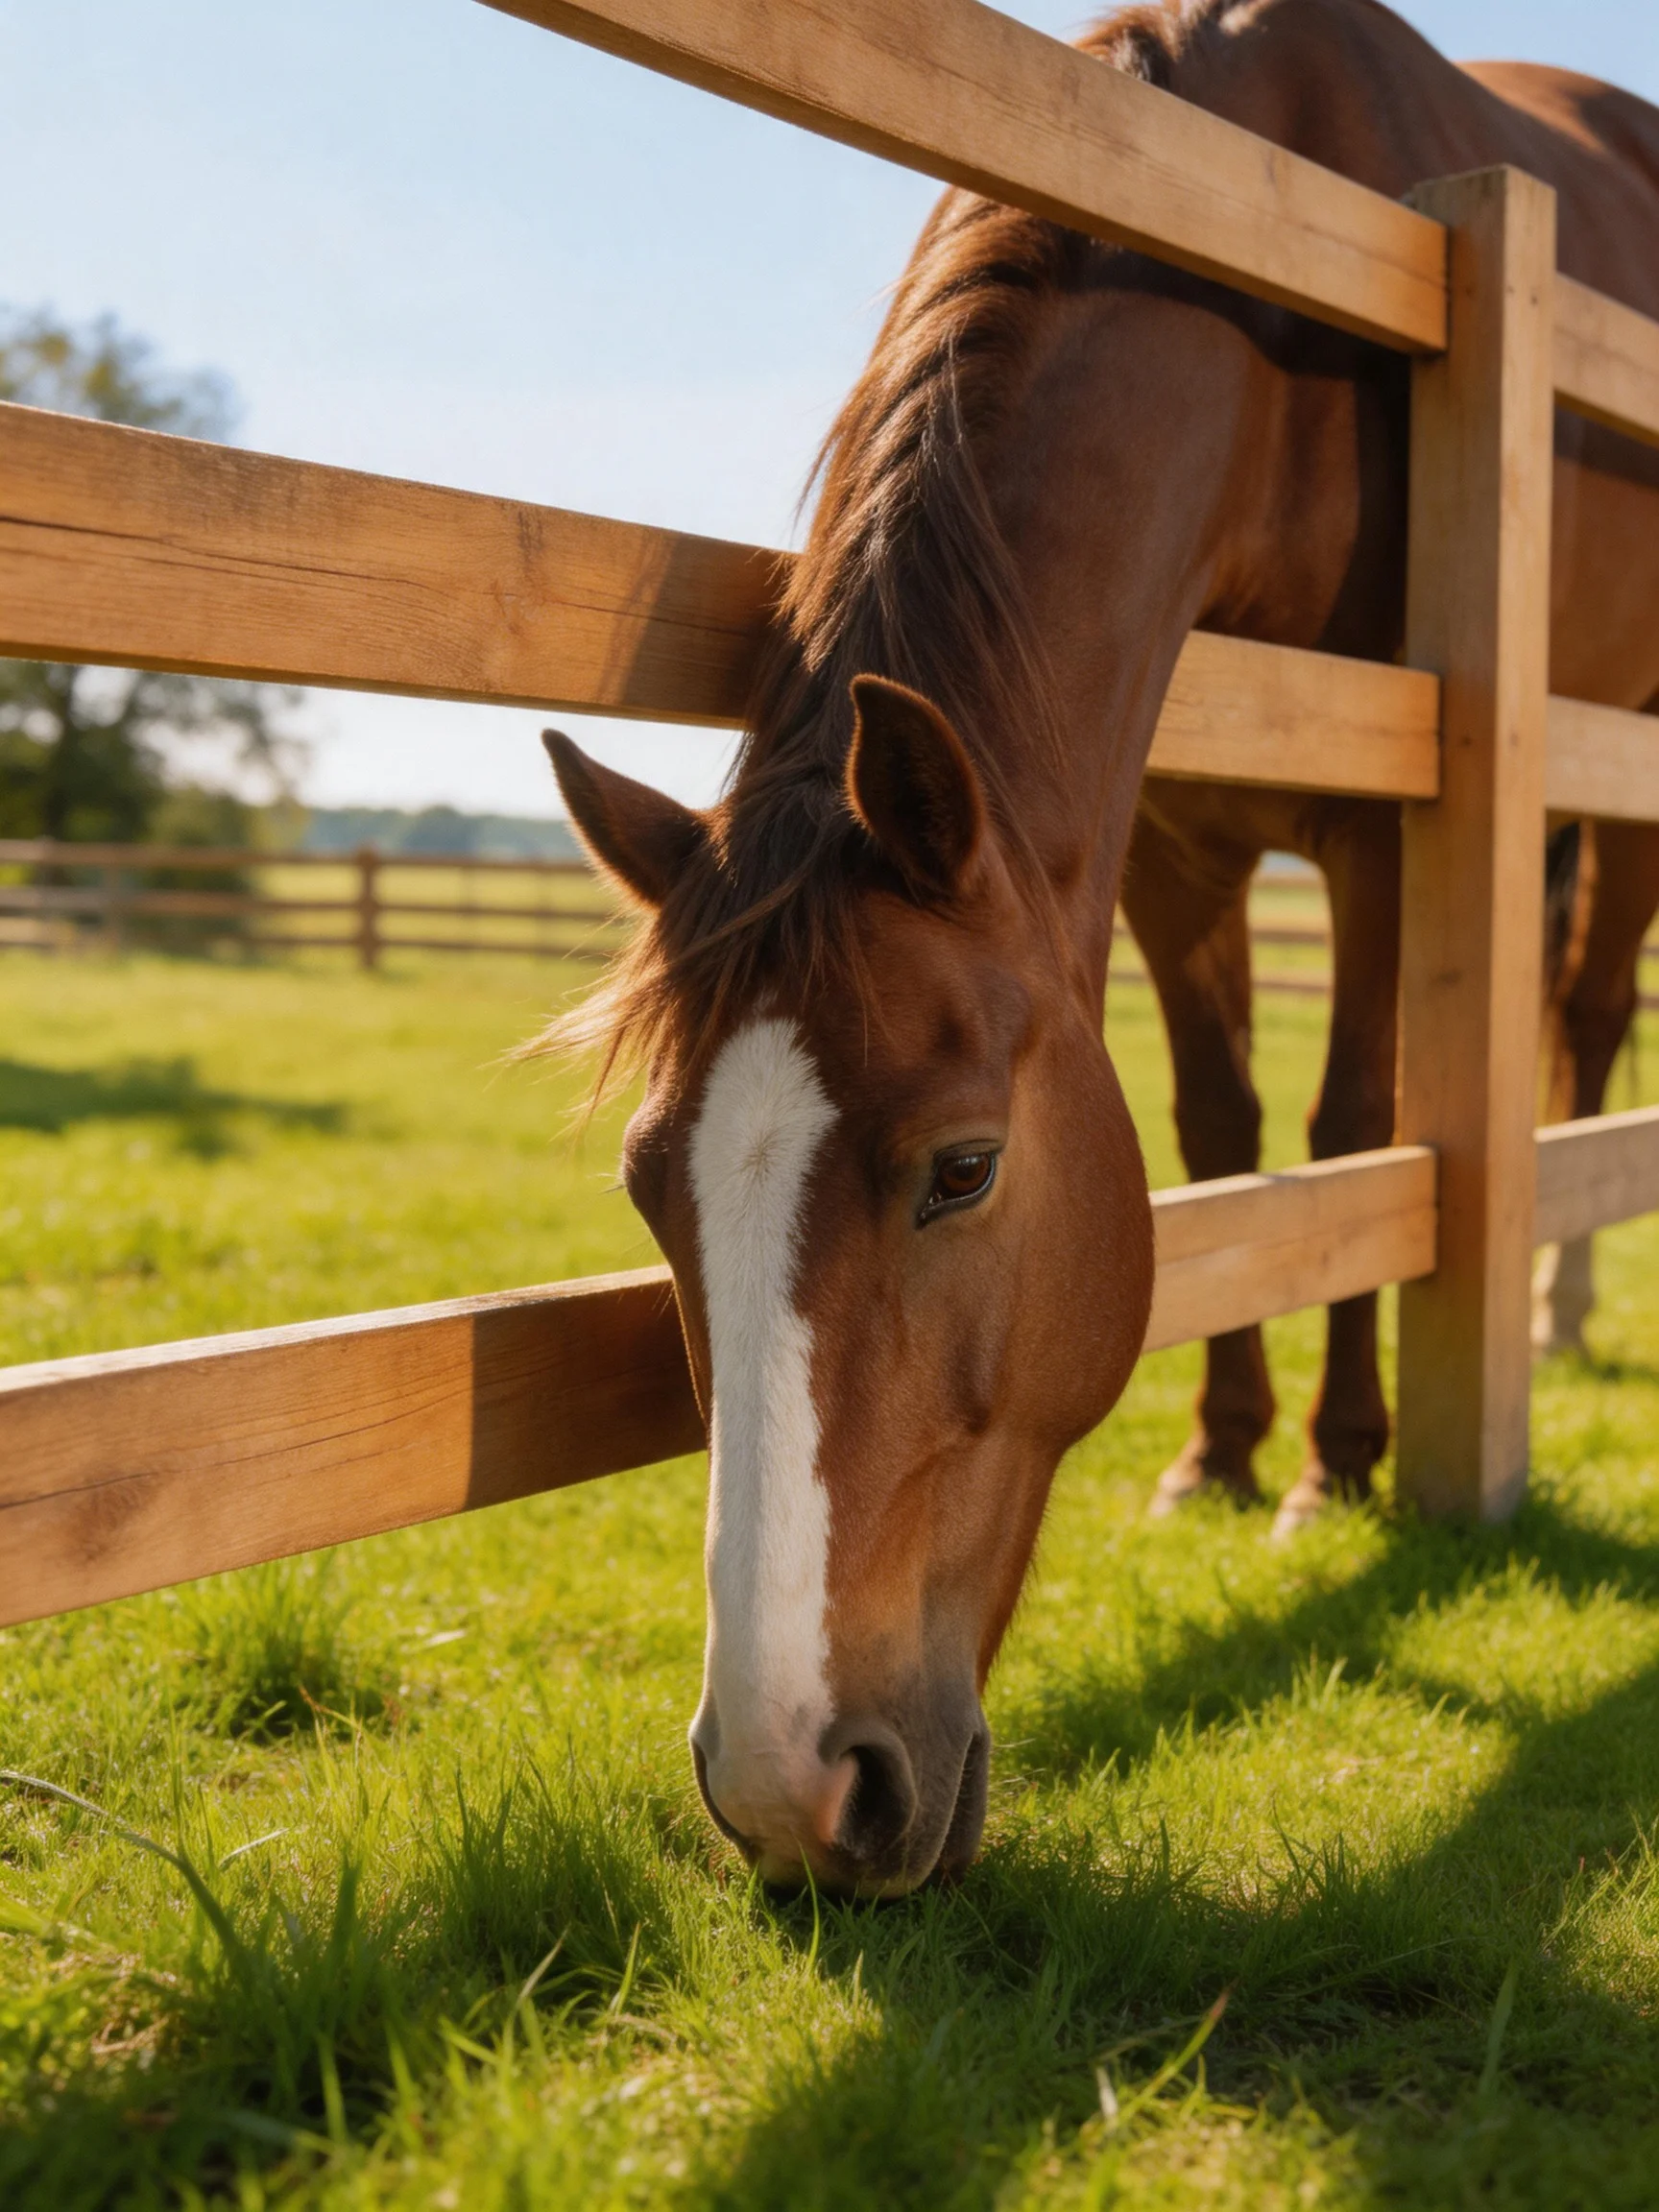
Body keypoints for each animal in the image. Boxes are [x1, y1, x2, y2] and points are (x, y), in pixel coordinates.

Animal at [544, 0, 1659, 1893]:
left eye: (962, 1170)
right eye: (648, 1190)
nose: (789, 1789)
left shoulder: (1382, 823)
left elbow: (1352, 1133)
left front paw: (1334, 1466)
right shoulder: (1174, 850)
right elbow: (1222, 1135)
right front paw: (1218, 1450)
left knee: (1580, 1016)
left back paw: (1555, 1303)